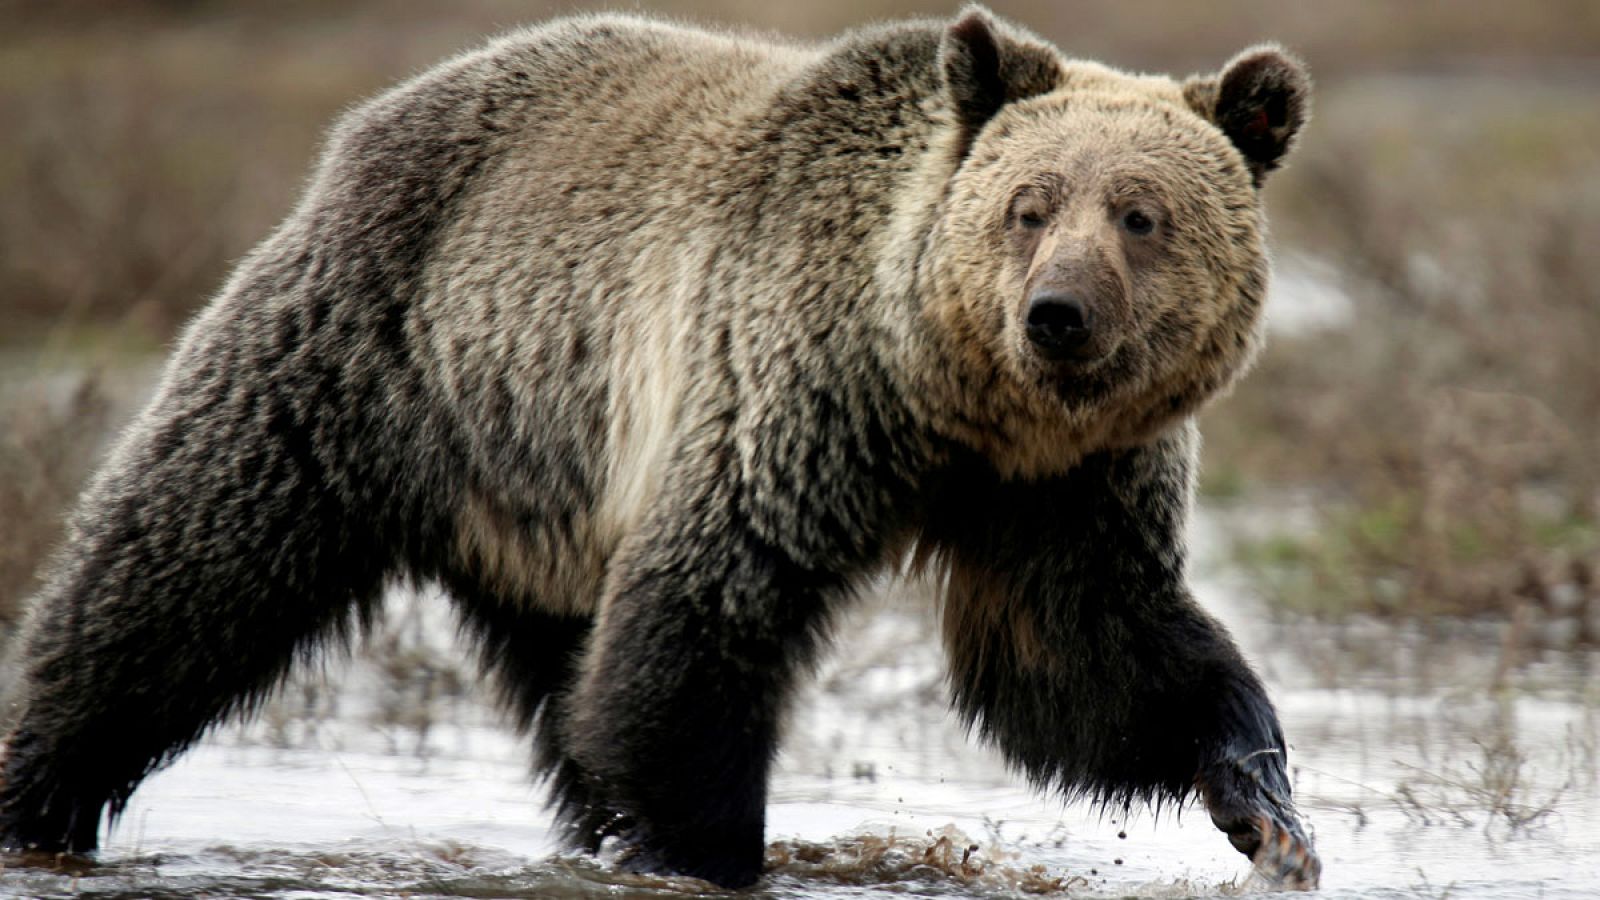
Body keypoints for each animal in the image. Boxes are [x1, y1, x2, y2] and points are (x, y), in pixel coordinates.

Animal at [0, 6, 1317, 890]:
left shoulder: (1063, 486)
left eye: (1141, 215)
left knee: (566, 680)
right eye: (1028, 205)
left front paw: (1264, 798)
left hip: (541, 487)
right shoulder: (789, 390)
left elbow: (1084, 655)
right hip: (372, 356)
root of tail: (377, 115)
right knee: (180, 571)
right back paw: (38, 790)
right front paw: (706, 847)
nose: (1056, 314)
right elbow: (705, 614)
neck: (951, 401)